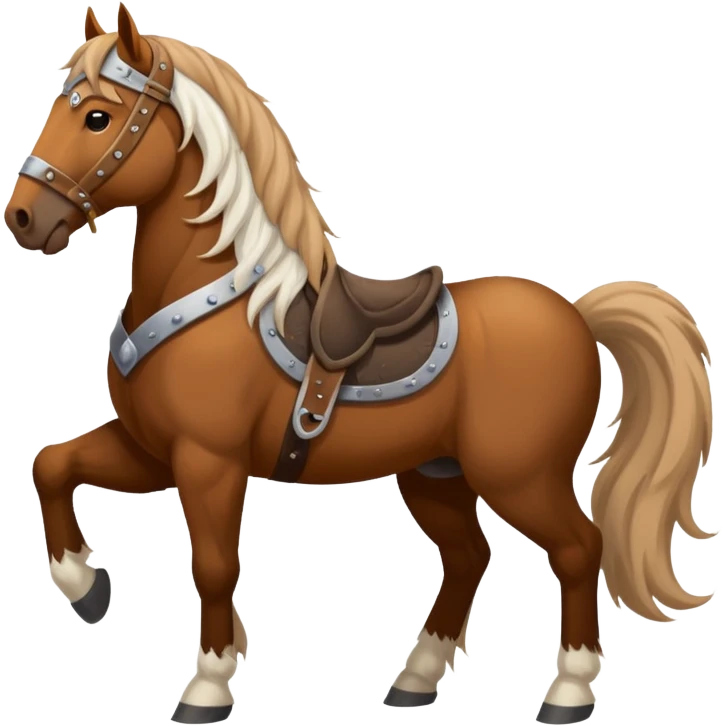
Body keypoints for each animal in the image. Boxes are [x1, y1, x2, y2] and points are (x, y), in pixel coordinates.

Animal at [5, 4, 717, 724]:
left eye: (97, 116)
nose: (23, 218)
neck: (208, 292)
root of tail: (577, 315)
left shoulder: (208, 460)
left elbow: (213, 565)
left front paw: (207, 685)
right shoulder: (153, 450)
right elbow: (52, 465)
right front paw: (87, 588)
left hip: (520, 476)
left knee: (578, 549)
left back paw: (568, 691)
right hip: (436, 473)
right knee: (469, 556)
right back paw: (414, 682)